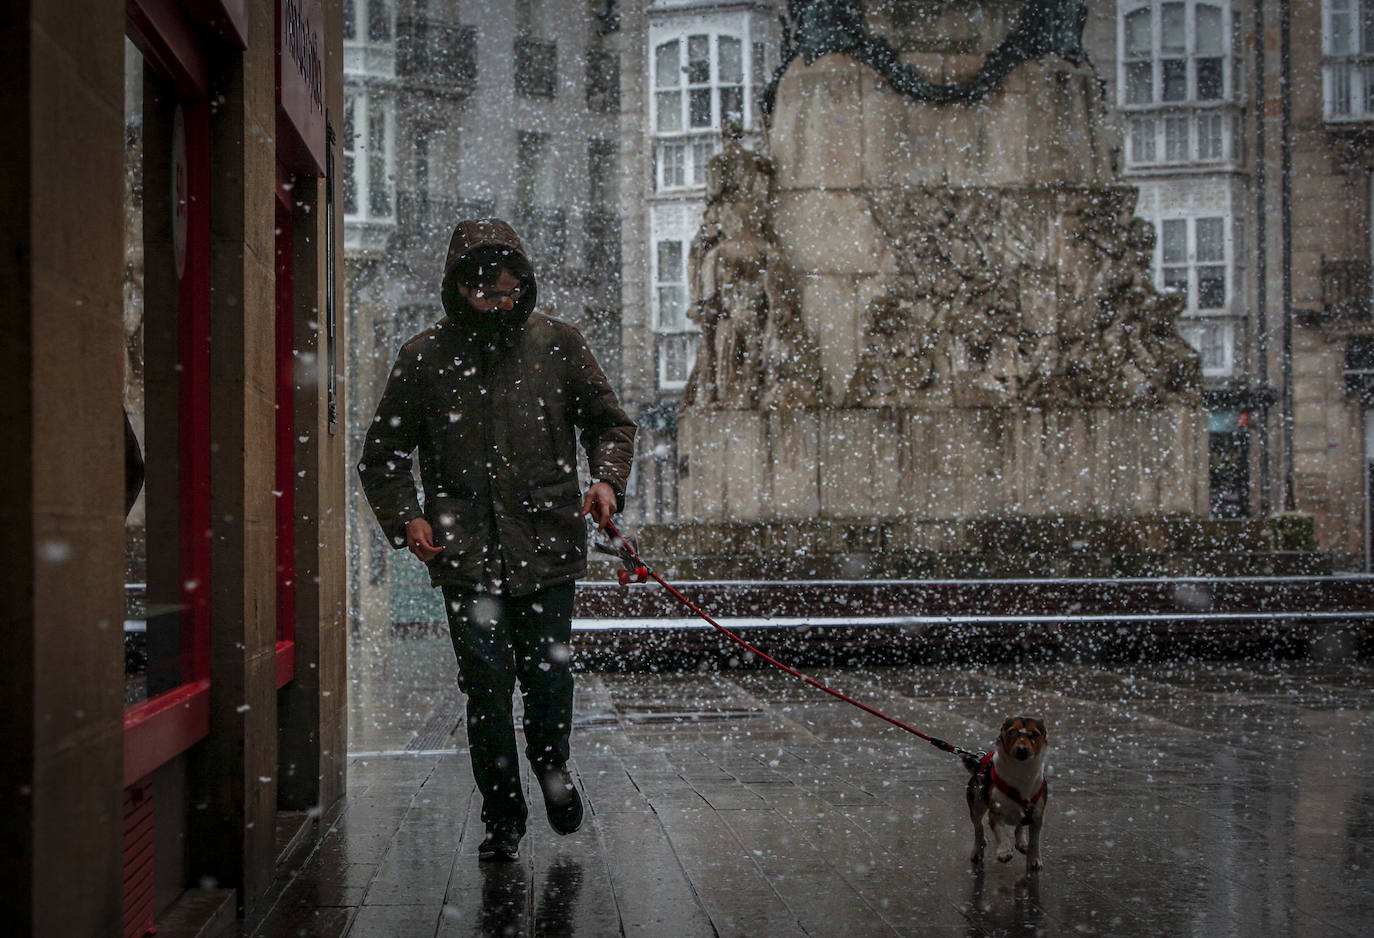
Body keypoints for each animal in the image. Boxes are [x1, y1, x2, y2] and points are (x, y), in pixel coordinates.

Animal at [967, 719, 1049, 873]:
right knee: (978, 827)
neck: (1021, 774)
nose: (1022, 749)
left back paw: (1022, 842)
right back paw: (977, 849)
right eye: (1012, 732)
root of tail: (979, 761)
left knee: (1019, 825)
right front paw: (1004, 851)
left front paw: (1034, 859)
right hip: (976, 805)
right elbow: (1001, 832)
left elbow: (1034, 840)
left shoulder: (1037, 815)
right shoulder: (995, 812)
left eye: (1035, 734)